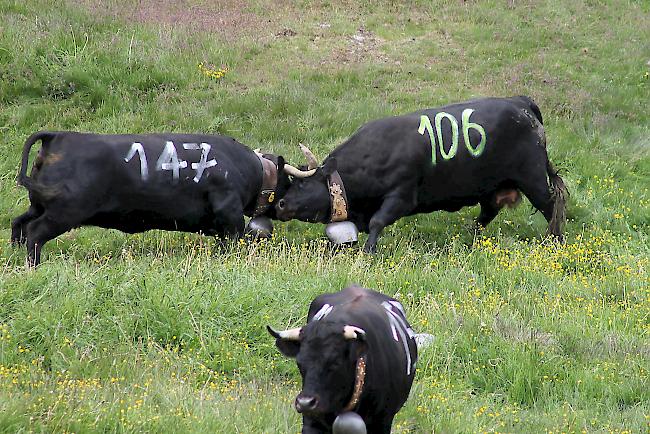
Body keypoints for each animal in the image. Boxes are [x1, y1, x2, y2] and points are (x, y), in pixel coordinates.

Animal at [9, 131, 288, 266]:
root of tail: (57, 136)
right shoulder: (230, 217)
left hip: (38, 205)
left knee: (18, 223)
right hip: (64, 213)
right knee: (35, 232)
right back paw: (33, 266)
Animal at [274, 95, 568, 251]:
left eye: (302, 185)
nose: (280, 204)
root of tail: (520, 102)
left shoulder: (402, 196)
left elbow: (377, 221)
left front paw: (369, 251)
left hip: (532, 178)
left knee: (551, 205)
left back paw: (556, 241)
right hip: (491, 186)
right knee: (488, 212)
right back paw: (468, 237)